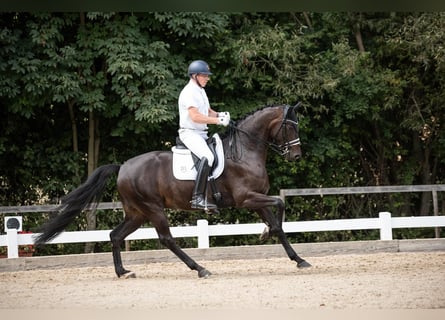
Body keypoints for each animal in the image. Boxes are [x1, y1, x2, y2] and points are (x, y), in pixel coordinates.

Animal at [34, 104, 310, 278]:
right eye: (290, 127)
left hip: (137, 213)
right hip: (153, 209)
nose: (296, 156)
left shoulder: (257, 200)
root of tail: (122, 166)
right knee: (166, 239)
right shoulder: (246, 199)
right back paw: (200, 269)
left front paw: (298, 259)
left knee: (115, 235)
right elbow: (280, 206)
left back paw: (123, 272)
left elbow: (279, 224)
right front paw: (267, 233)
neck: (244, 151)